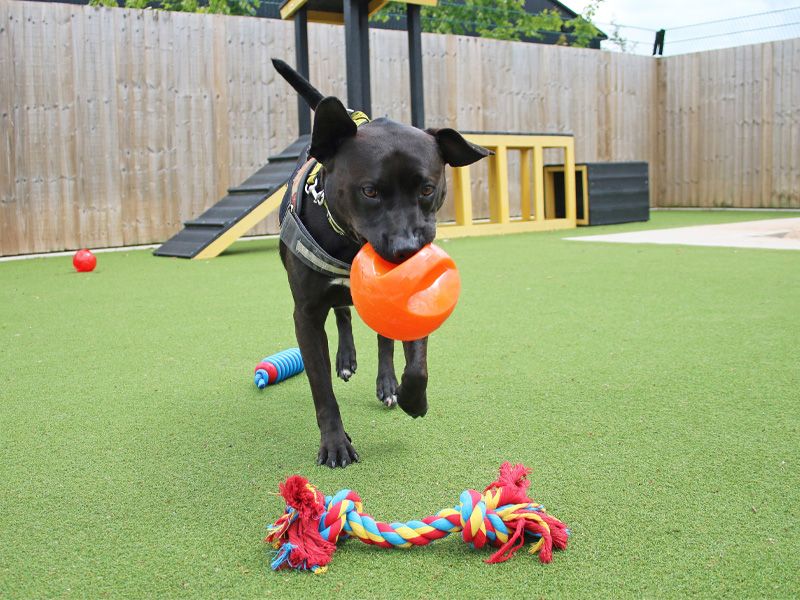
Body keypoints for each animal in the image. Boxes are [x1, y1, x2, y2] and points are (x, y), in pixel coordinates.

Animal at [272, 59, 490, 468]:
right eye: (369, 191)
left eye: (427, 189)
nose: (407, 248)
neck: (349, 246)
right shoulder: (305, 314)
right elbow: (321, 387)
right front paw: (335, 443)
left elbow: (416, 363)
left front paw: (411, 398)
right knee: (343, 314)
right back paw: (346, 359)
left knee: (382, 338)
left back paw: (387, 383)